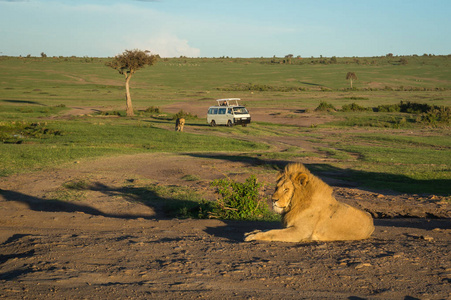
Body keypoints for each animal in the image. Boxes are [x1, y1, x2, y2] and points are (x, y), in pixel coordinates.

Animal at [245, 163, 376, 243]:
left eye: (286, 189)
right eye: (276, 188)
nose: (273, 200)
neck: (297, 203)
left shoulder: (299, 232)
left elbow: (272, 233)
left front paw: (253, 236)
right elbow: (268, 229)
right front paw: (252, 232)